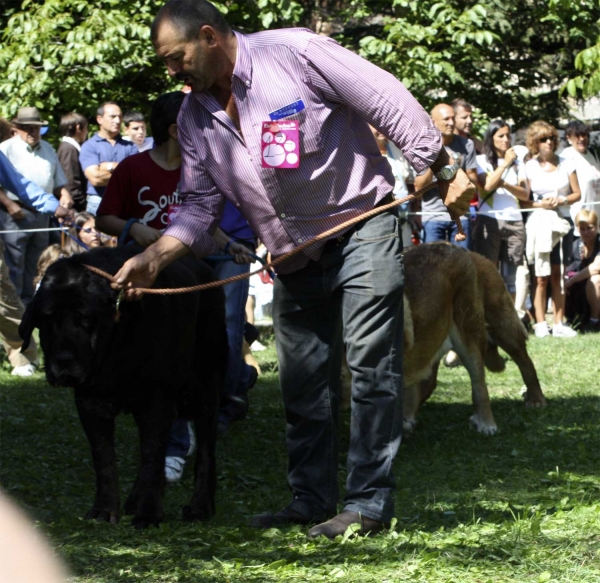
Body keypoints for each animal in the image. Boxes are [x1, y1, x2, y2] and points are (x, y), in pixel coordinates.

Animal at [19, 246, 227, 528]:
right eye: (48, 319)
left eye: (84, 318)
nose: (62, 360)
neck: (113, 351)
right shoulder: (90, 405)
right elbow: (105, 460)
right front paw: (105, 509)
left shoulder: (156, 401)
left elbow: (151, 456)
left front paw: (148, 514)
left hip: (206, 386)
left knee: (205, 450)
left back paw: (200, 506)